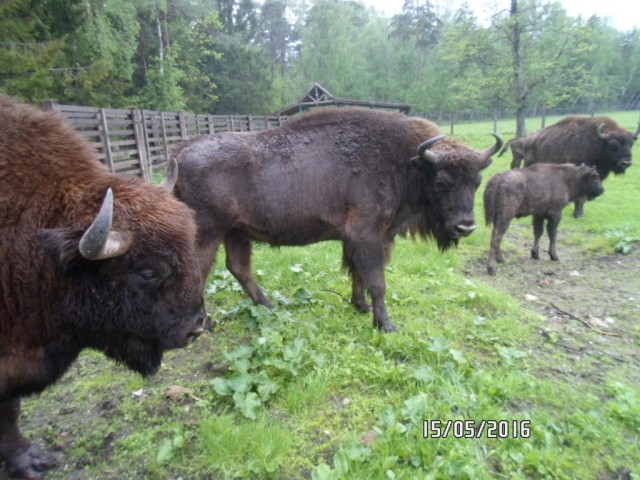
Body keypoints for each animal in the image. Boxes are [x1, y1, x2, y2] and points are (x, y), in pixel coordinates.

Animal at [171, 107, 502, 333]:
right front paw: (386, 325)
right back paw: (207, 324)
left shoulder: (367, 238)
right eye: (442, 182)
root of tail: (182, 150)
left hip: (236, 232)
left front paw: (360, 306)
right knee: (200, 273)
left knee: (239, 268)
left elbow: (358, 274)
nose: (465, 226)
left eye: (477, 182)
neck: (407, 160)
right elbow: (377, 281)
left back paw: (271, 308)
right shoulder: (366, 235)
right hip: (208, 234)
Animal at [498, 116, 639, 218]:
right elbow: (580, 198)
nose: (626, 162)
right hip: (528, 162)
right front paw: (578, 215)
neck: (597, 143)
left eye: (631, 144)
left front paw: (581, 213)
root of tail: (528, 139)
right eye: (612, 145)